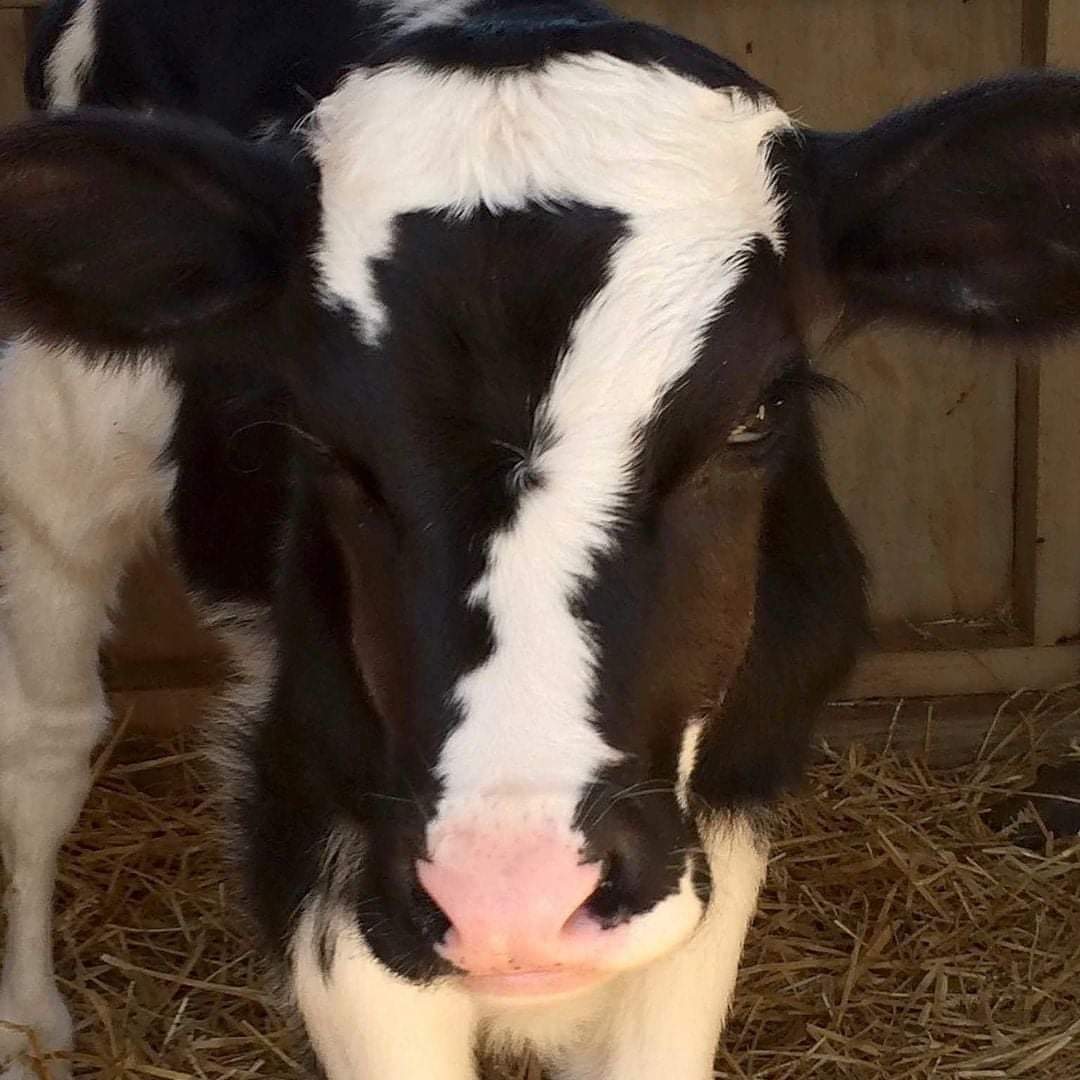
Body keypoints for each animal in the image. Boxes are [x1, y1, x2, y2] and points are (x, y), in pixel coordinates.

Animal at [1, 1, 1078, 1077]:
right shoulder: (315, 818)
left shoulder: (726, 806)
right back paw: (30, 1023)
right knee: (48, 737)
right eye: (321, 438)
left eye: (759, 412)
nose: (510, 895)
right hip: (60, 447)